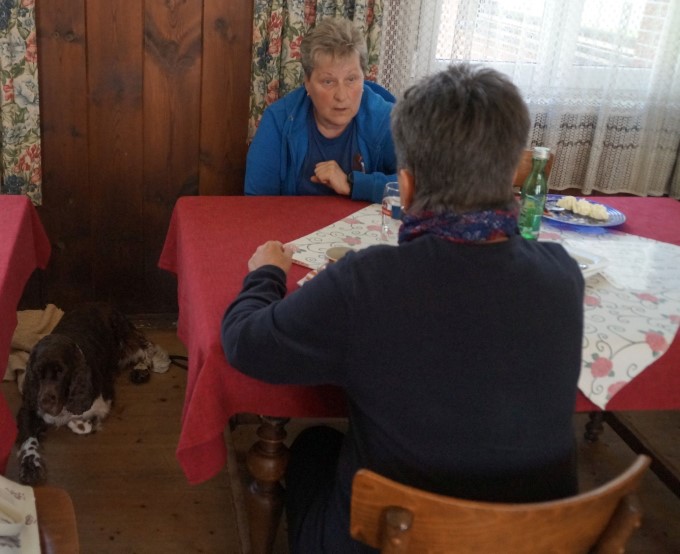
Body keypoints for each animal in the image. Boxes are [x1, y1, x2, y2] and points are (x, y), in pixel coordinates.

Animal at [15, 303, 170, 485]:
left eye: (61, 372)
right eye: (37, 371)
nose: (45, 403)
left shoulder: (104, 399)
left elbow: (82, 421)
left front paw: (79, 423)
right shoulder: (29, 407)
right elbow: (28, 439)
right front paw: (30, 466)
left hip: (126, 338)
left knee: (146, 349)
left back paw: (144, 369)